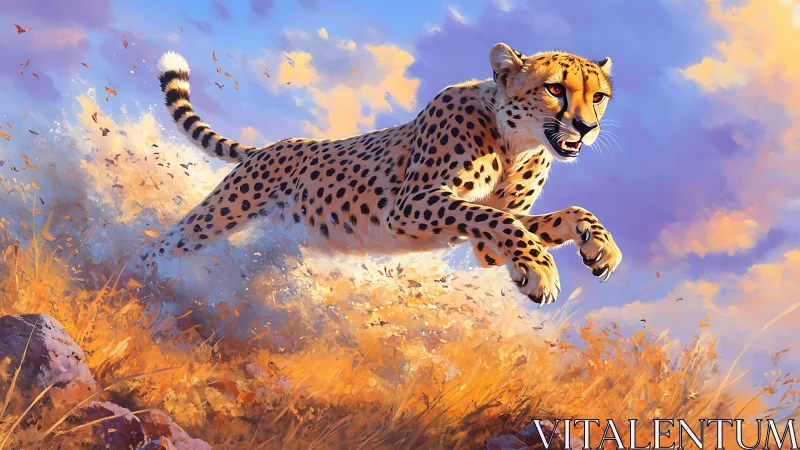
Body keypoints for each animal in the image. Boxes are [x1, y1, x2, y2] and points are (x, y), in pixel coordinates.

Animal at [138, 43, 622, 305]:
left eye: (598, 96)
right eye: (555, 89)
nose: (586, 127)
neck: (516, 144)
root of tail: (278, 144)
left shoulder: (484, 249)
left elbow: (553, 215)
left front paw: (599, 246)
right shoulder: (408, 207)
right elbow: (495, 217)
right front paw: (540, 269)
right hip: (224, 210)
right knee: (163, 244)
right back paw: (134, 278)